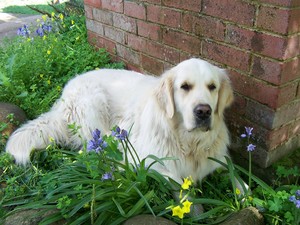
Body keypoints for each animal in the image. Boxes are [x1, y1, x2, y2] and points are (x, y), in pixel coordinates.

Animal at [5, 57, 233, 183]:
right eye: (185, 86)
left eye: (212, 87)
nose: (203, 111)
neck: (189, 141)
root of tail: (62, 98)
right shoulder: (145, 159)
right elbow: (178, 181)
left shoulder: (220, 160)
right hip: (93, 102)